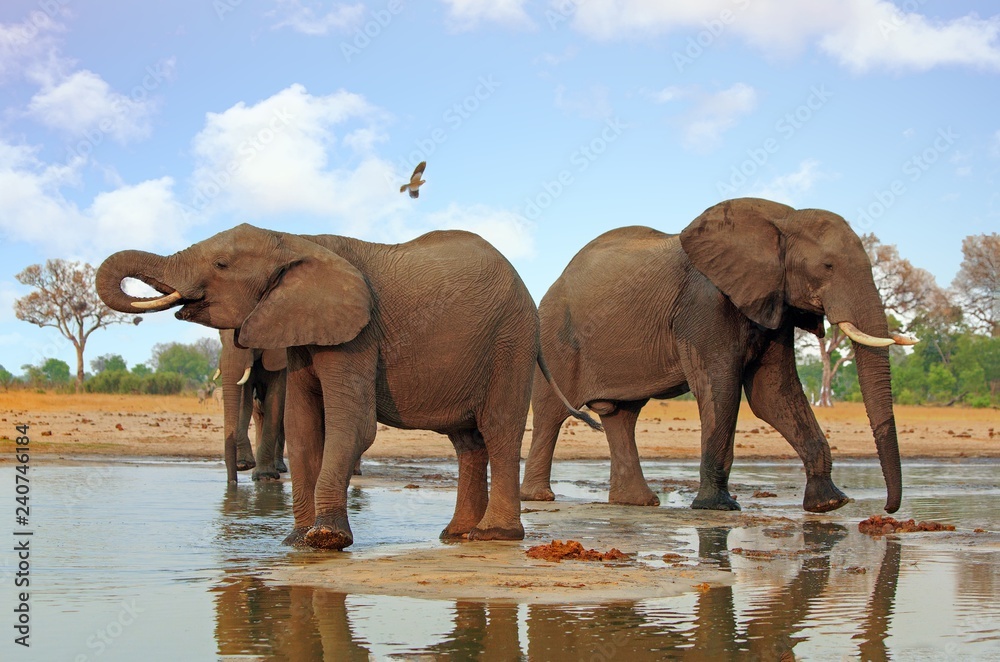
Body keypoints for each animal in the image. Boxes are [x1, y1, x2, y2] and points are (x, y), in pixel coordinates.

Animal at [217, 329, 288, 483]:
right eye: (220, 335)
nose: (233, 482)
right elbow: (244, 400)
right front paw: (243, 464)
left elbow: (275, 399)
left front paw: (265, 475)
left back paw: (278, 469)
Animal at [520, 197, 914, 514]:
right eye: (828, 266)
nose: (888, 508)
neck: (783, 217)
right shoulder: (706, 304)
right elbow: (720, 387)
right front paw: (718, 507)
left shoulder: (773, 302)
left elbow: (774, 394)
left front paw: (830, 503)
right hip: (555, 337)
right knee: (552, 413)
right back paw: (540, 498)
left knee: (622, 416)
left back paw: (637, 503)